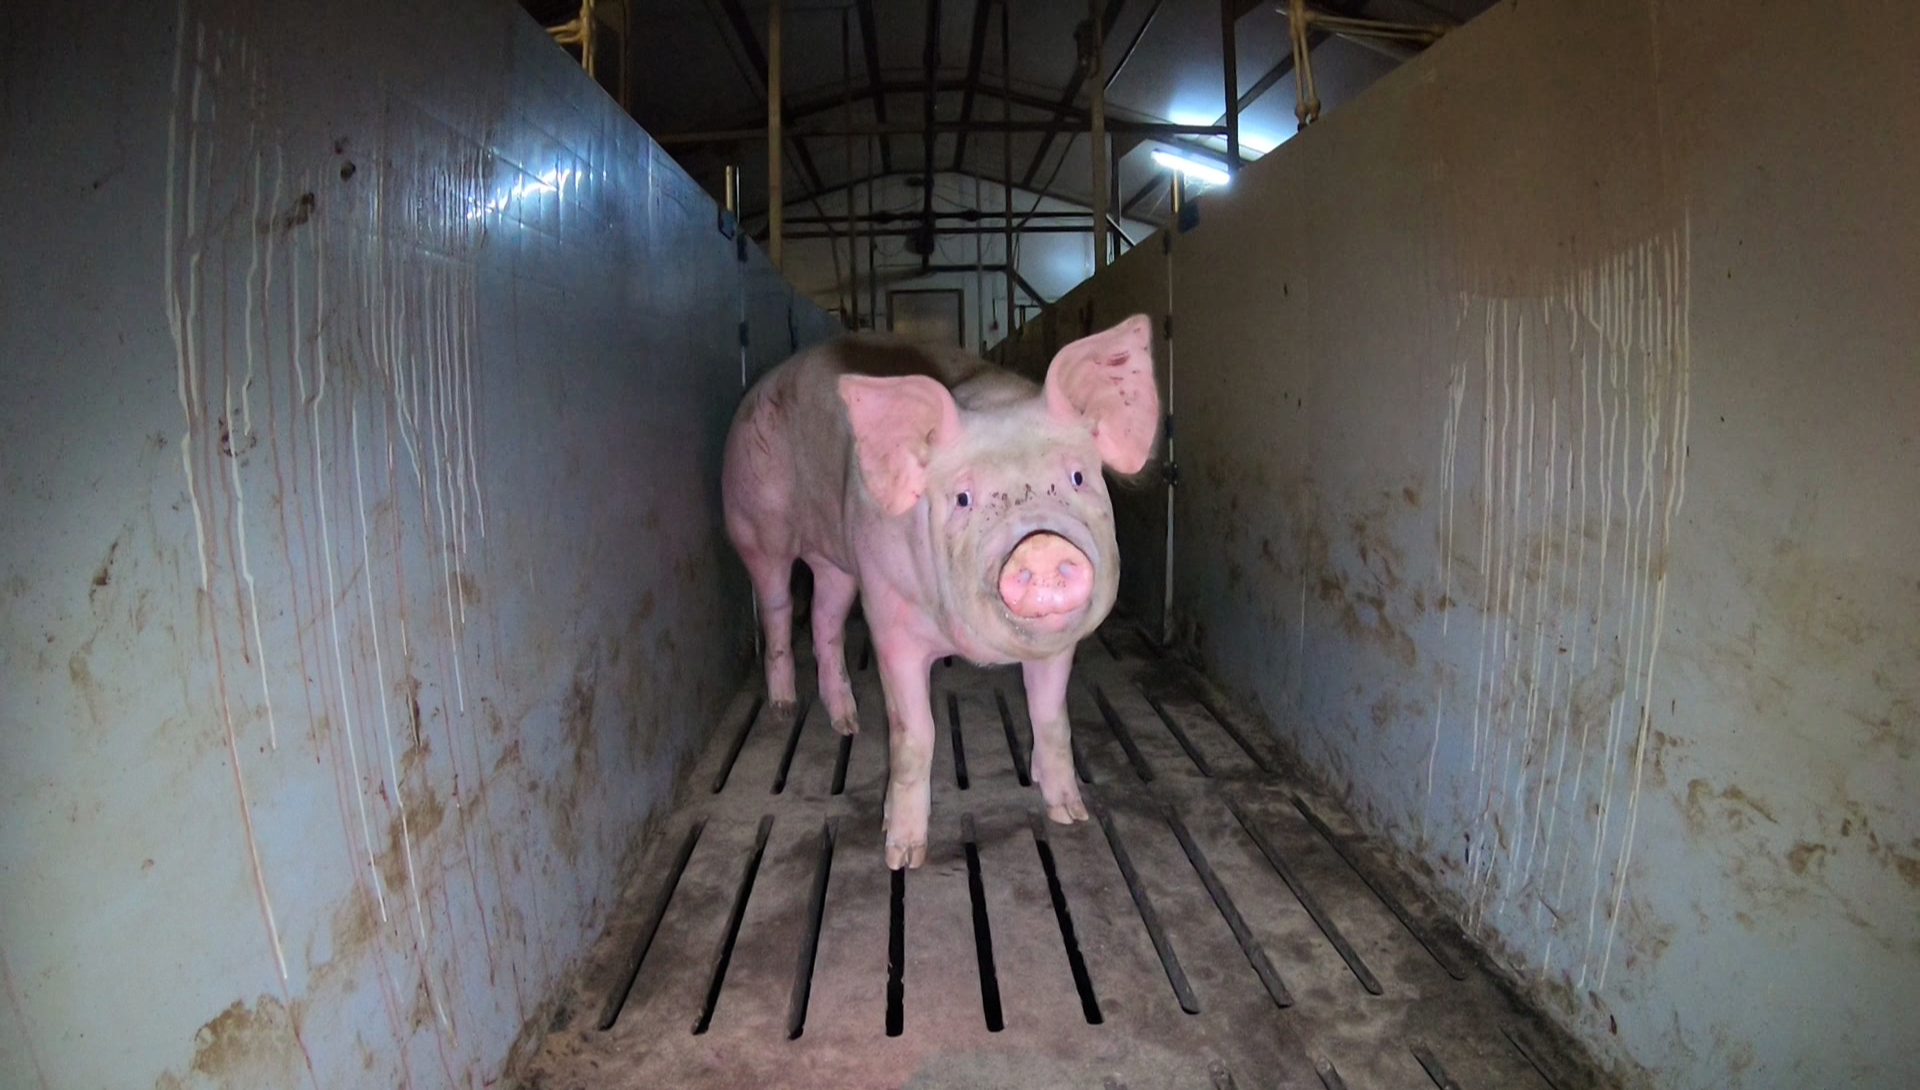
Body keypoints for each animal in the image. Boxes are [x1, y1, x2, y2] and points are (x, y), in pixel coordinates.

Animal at [721, 315, 1158, 869]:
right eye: (964, 498)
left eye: (1078, 476)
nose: (1039, 546)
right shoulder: (890, 617)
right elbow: (915, 734)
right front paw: (903, 855)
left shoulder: (1057, 643)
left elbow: (1051, 717)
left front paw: (1070, 815)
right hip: (756, 524)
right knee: (778, 606)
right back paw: (782, 709)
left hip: (837, 559)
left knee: (825, 616)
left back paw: (848, 724)